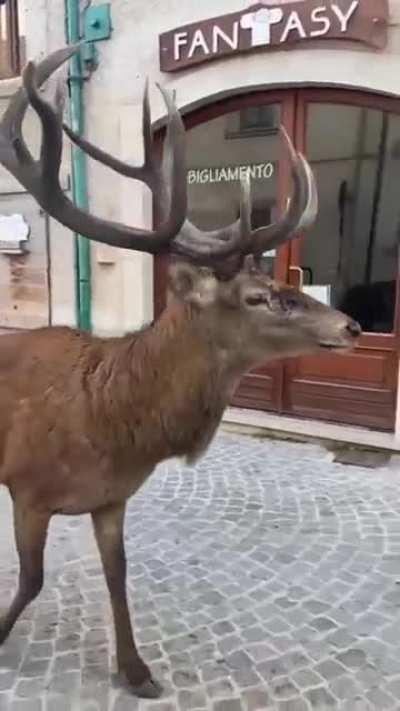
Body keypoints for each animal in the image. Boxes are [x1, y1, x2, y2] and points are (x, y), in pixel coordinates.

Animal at [0, 46, 361, 699]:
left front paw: (138, 671)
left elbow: (118, 575)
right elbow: (32, 580)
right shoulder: (26, 488)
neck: (109, 426)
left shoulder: (111, 499)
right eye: (258, 296)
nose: (352, 326)